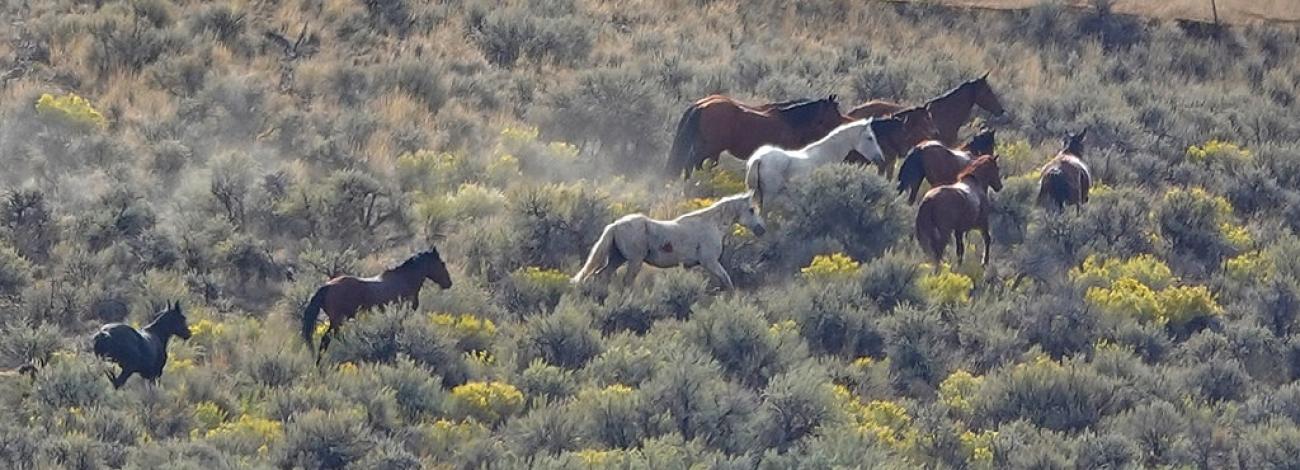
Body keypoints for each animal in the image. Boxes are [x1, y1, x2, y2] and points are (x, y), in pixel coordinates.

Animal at [301, 249, 453, 364]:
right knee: (326, 340)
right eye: (442, 263)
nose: (449, 283)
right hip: (337, 320)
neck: (405, 280)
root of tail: (327, 286)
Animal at [572, 193, 766, 291]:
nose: (761, 230)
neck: (712, 224)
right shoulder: (710, 262)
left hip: (617, 258)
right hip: (634, 261)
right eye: (751, 210)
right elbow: (726, 280)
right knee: (626, 281)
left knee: (602, 275)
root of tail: (615, 225)